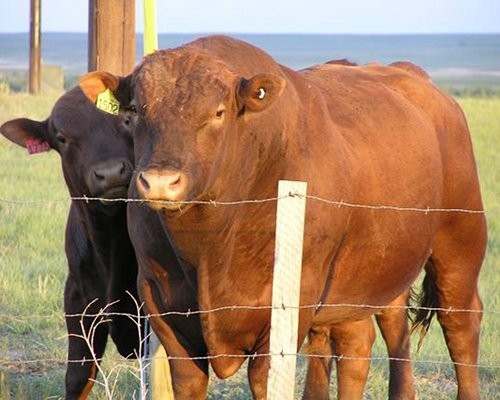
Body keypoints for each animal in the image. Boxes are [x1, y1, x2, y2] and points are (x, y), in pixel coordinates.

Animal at [80, 36, 486, 398]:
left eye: (218, 112)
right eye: (134, 111)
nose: (161, 181)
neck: (209, 246)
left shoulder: (292, 301)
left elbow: (265, 378)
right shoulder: (160, 300)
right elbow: (189, 380)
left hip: (459, 242)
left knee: (460, 322)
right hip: (368, 273)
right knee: (363, 339)